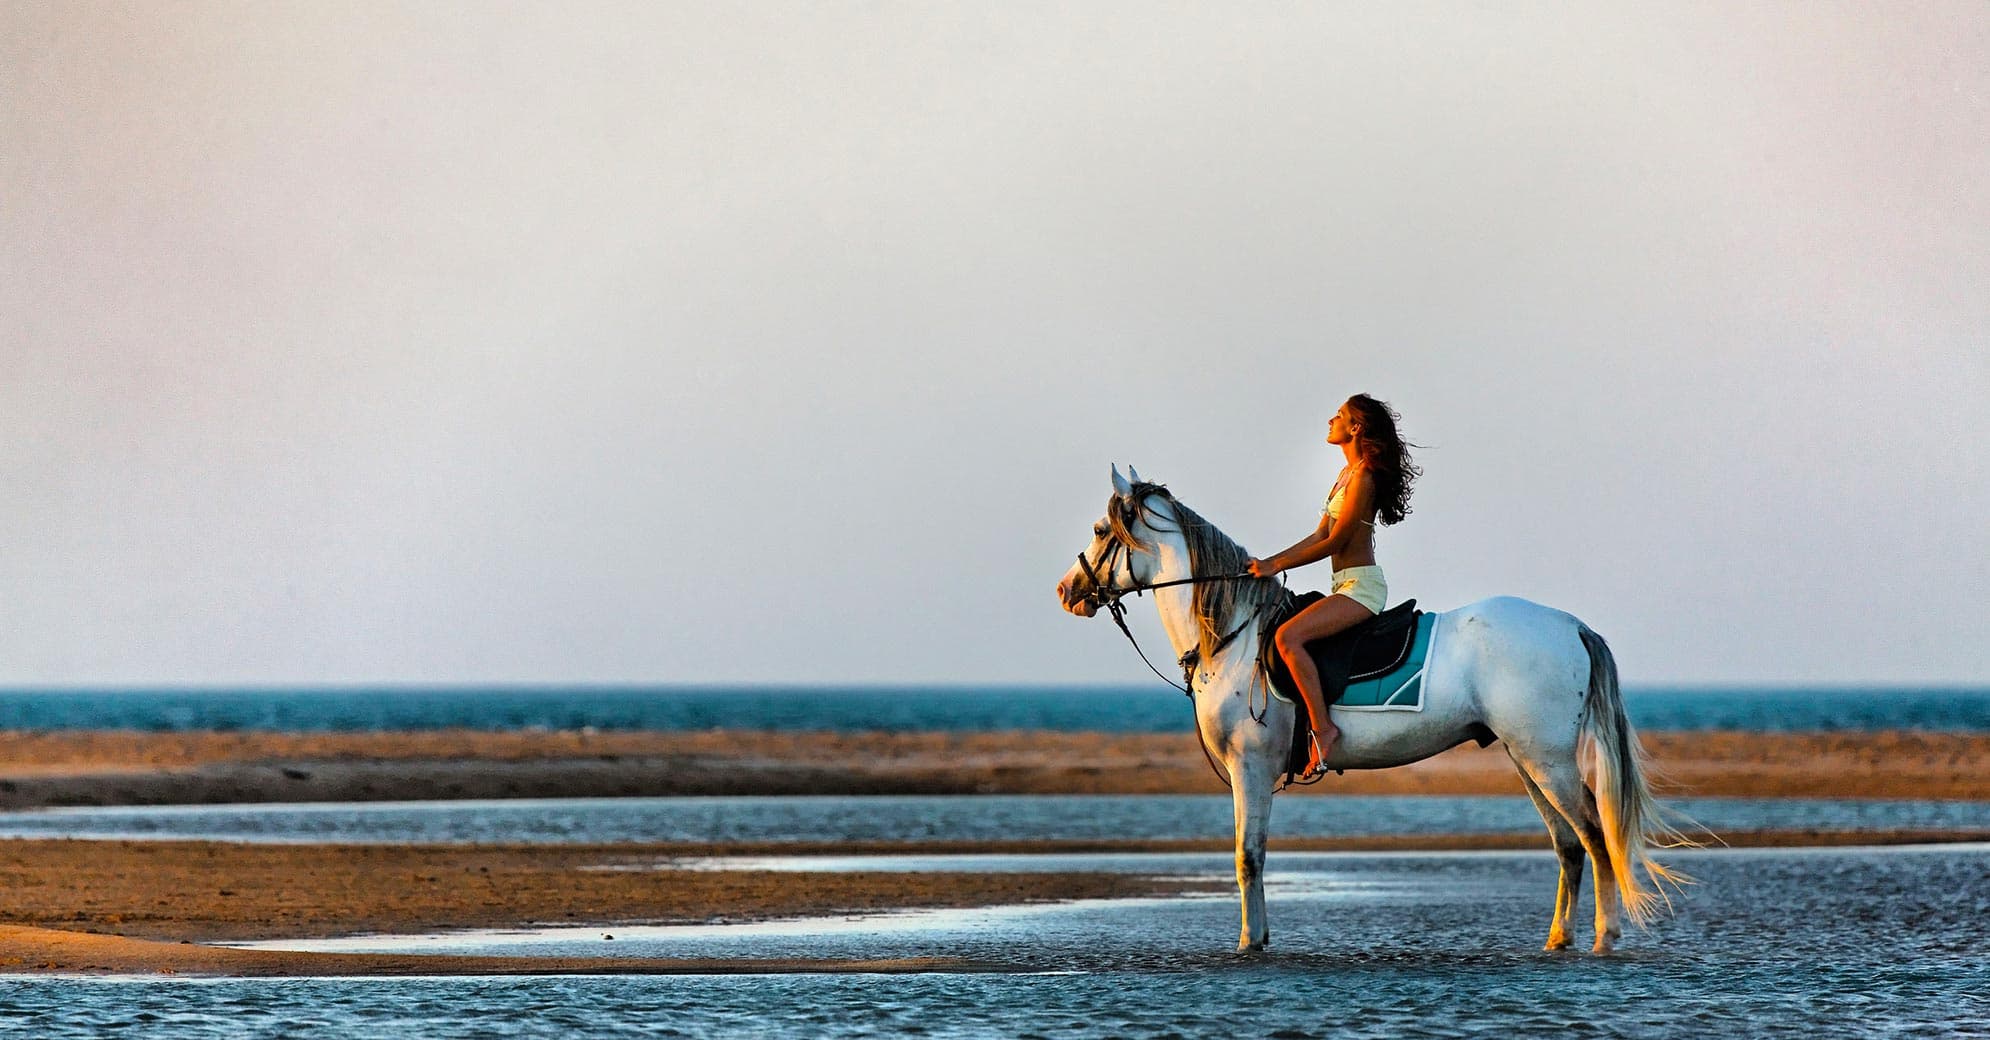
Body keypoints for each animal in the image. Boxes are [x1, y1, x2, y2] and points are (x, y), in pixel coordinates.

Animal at [1054, 466, 1695, 954]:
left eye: (1099, 529)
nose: (1067, 591)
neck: (1234, 635)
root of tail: (1570, 625)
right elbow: (1251, 857)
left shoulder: (1250, 767)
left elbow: (1247, 857)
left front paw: (1250, 943)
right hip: (1528, 758)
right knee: (1569, 844)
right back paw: (1558, 939)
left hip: (1548, 760)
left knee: (1594, 835)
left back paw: (1605, 937)